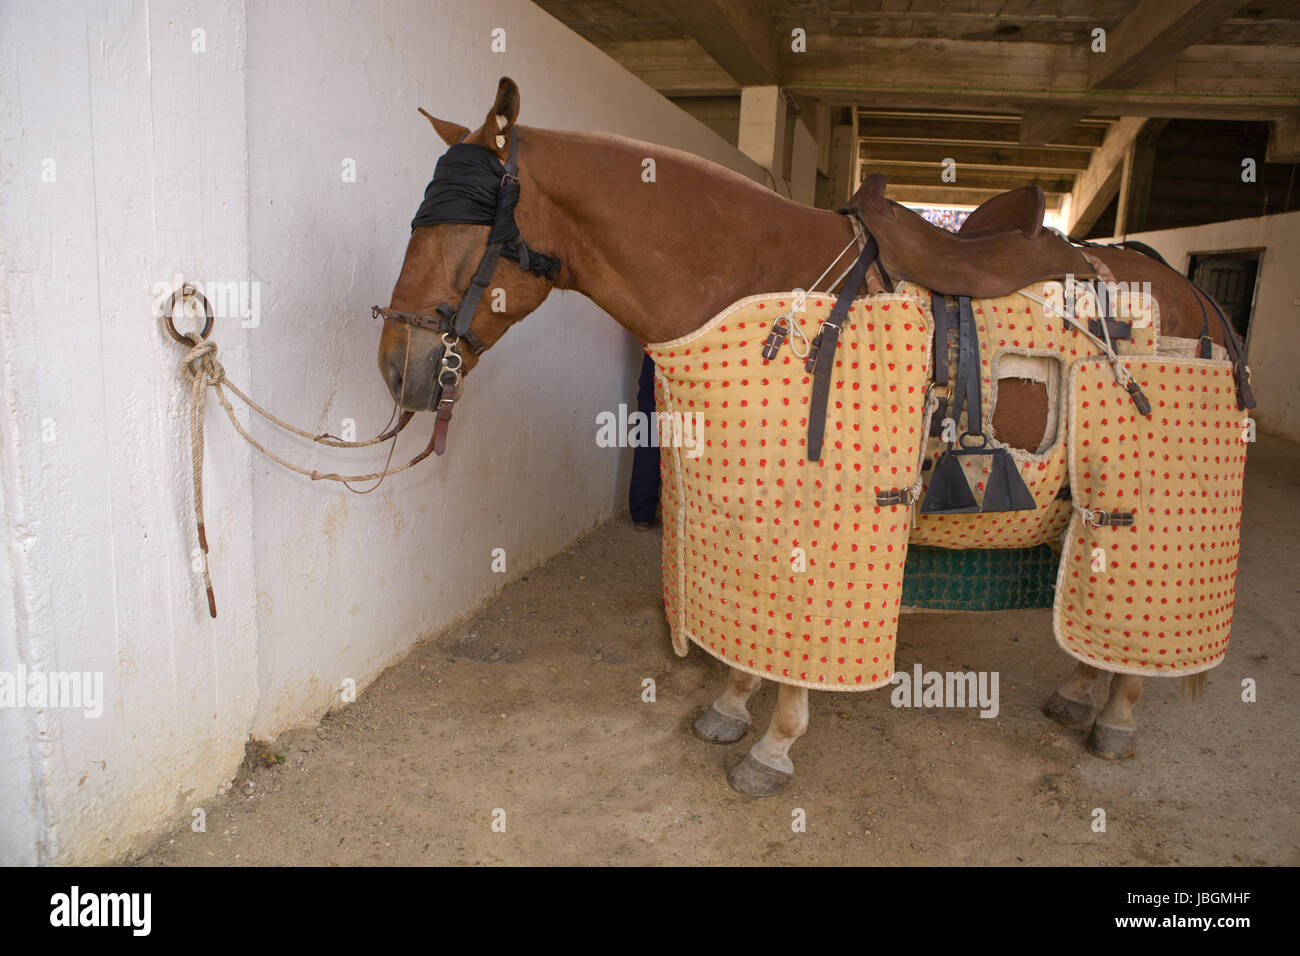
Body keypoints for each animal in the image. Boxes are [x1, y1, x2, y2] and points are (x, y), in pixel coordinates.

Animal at [379, 78, 1237, 801]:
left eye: (463, 230)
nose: (396, 367)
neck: (760, 280)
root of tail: (1193, 295)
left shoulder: (827, 517)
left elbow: (799, 643)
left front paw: (772, 748)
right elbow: (751, 624)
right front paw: (730, 708)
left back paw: (1117, 714)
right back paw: (1080, 692)